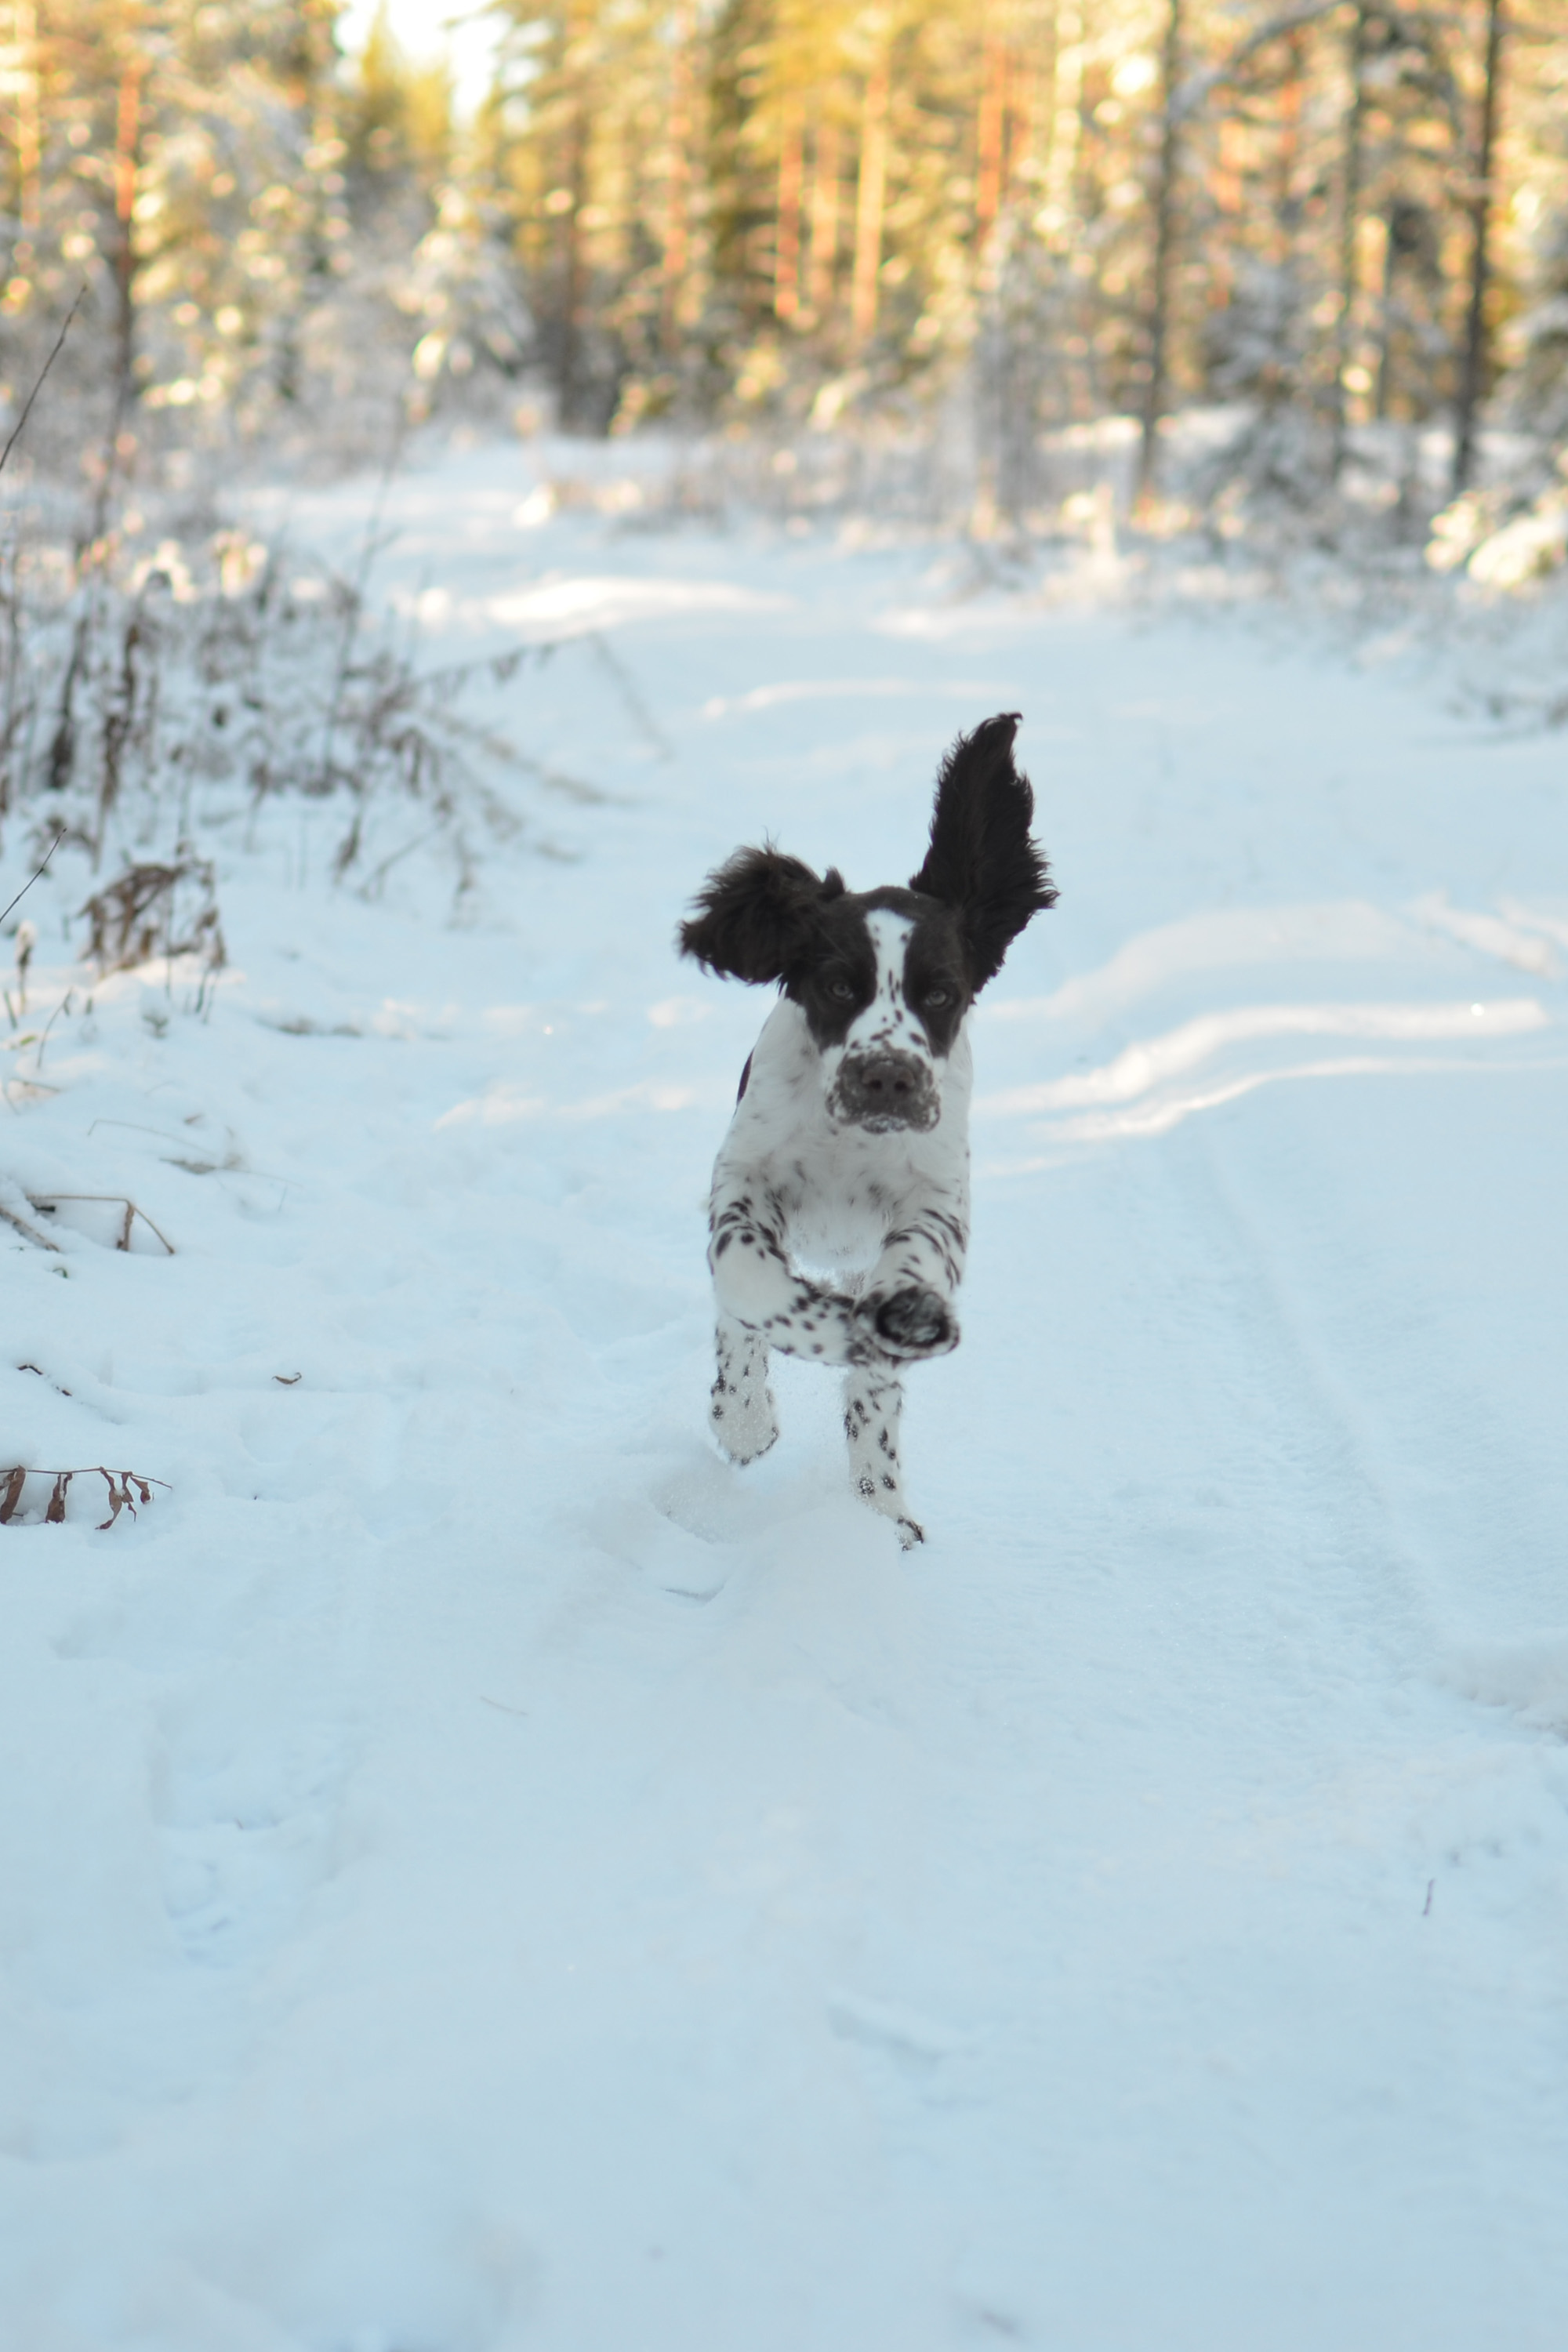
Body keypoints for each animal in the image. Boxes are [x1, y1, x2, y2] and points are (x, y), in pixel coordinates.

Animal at [677, 701, 1053, 1543]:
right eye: (839, 985)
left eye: (941, 993)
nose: (887, 1077)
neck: (847, 1141)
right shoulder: (744, 1179)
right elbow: (747, 1281)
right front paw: (750, 1412)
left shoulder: (935, 1198)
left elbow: (910, 1275)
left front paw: (901, 1321)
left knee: (874, 1394)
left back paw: (883, 1504)